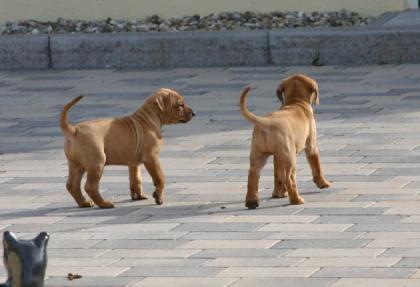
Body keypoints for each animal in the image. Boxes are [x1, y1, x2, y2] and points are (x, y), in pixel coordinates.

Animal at [60, 88, 194, 209]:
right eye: (180, 105)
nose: (194, 113)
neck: (149, 118)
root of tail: (74, 130)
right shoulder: (152, 158)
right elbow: (160, 178)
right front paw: (159, 197)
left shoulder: (134, 163)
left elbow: (136, 179)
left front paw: (138, 196)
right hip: (96, 163)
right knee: (90, 186)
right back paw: (104, 204)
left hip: (76, 165)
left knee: (72, 185)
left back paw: (84, 203)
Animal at [240, 74, 332, 209]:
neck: (296, 102)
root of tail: (266, 122)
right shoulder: (312, 146)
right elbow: (317, 167)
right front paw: (323, 183)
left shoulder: (277, 157)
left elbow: (278, 175)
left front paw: (279, 193)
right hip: (290, 158)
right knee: (290, 178)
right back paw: (296, 200)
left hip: (259, 154)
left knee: (253, 174)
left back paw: (252, 202)